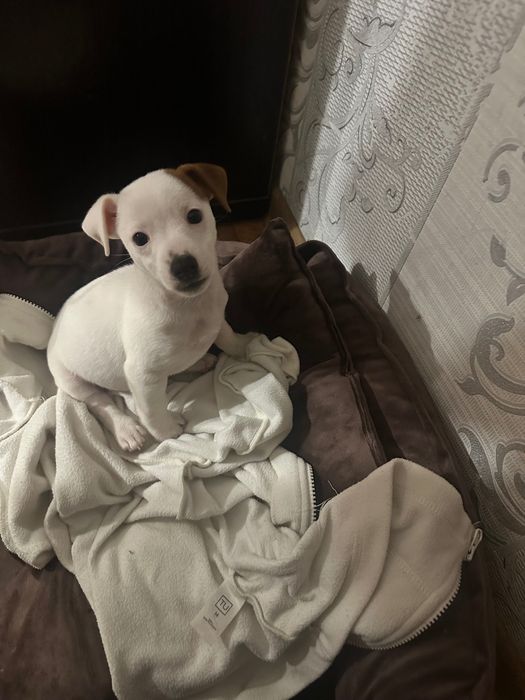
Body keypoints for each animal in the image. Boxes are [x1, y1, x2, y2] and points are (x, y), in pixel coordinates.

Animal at [47, 163, 248, 452]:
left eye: (194, 215)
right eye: (140, 238)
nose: (183, 266)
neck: (188, 306)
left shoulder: (217, 318)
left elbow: (227, 335)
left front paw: (243, 347)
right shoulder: (142, 374)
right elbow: (152, 410)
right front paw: (166, 431)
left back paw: (198, 362)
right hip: (72, 381)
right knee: (102, 404)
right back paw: (127, 429)